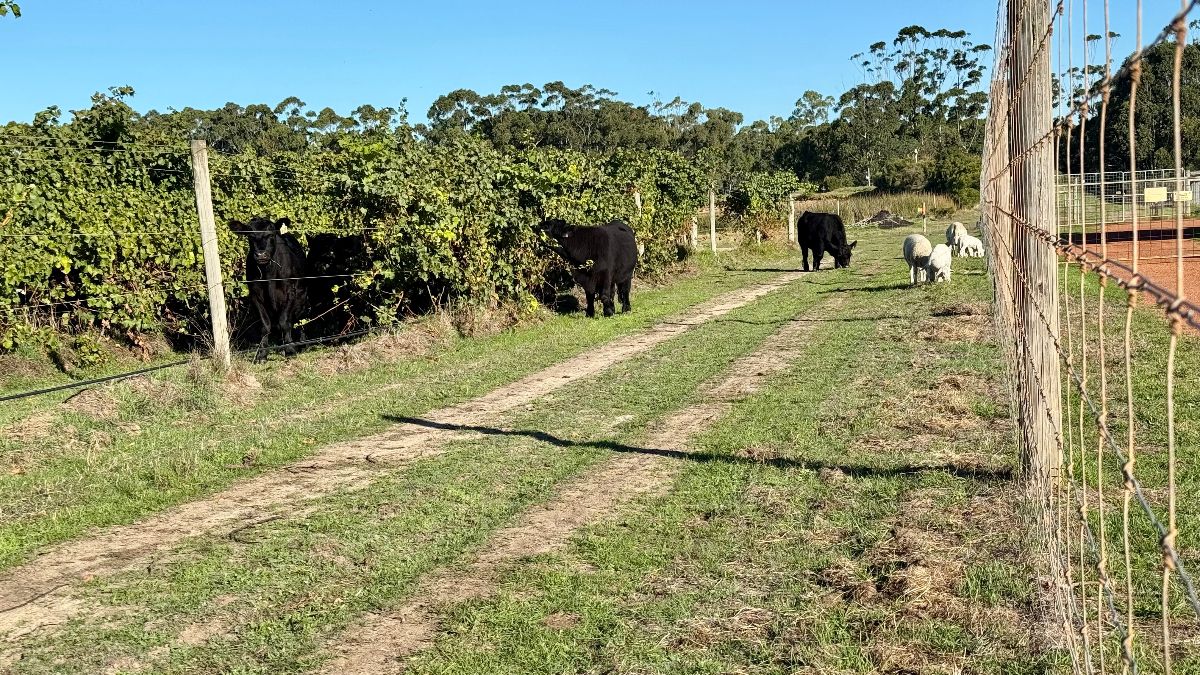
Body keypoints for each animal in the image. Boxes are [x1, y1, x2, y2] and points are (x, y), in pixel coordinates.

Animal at [228, 216, 309, 362]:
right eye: (250, 236)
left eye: (271, 235)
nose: (261, 255)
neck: (268, 275)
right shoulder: (255, 296)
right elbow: (265, 326)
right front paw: (262, 354)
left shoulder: (290, 293)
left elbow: (285, 322)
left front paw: (290, 349)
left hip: (302, 298)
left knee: (300, 319)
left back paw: (301, 343)